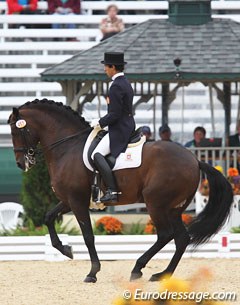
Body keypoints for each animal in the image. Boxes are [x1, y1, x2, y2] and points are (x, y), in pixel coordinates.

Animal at [8, 99, 233, 282]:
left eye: (17, 131)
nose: (20, 163)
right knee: (181, 239)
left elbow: (88, 236)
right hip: (174, 208)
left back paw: (138, 268)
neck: (68, 147)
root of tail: (195, 160)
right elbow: (48, 217)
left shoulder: (77, 201)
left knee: (165, 234)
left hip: (156, 202)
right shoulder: (69, 200)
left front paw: (92, 272)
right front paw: (66, 250)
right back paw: (162, 275)